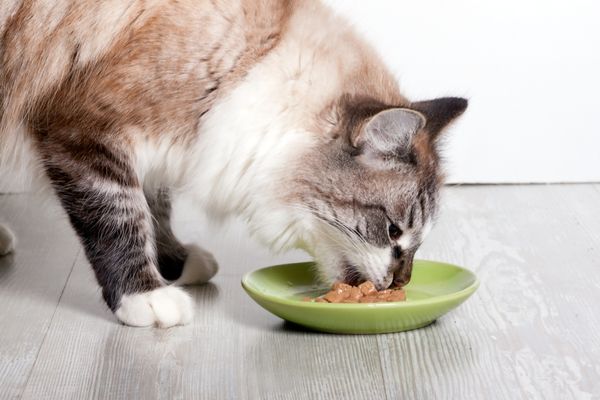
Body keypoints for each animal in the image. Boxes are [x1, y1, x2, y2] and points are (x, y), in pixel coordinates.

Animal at [0, 0, 466, 326]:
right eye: (393, 232)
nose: (402, 283)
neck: (248, 62)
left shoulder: (161, 149)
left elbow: (156, 207)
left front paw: (175, 262)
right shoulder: (82, 131)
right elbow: (122, 219)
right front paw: (145, 296)